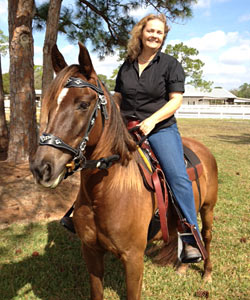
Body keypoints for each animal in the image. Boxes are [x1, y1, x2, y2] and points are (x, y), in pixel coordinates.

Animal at [29, 42, 218, 300]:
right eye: (48, 103)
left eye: (83, 104)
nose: (42, 167)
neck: (105, 191)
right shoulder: (91, 252)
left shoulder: (133, 260)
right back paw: (182, 266)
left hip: (208, 209)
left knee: (205, 236)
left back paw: (206, 272)